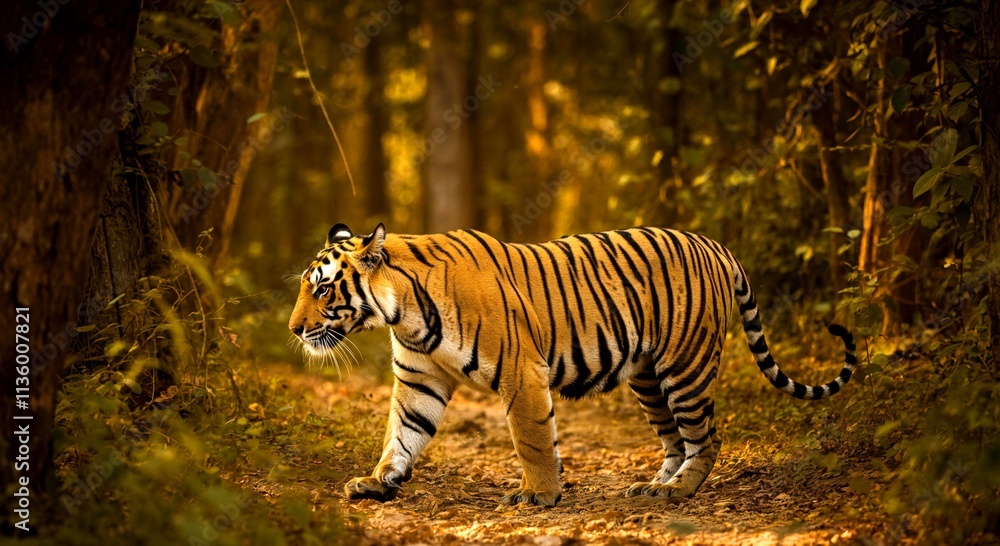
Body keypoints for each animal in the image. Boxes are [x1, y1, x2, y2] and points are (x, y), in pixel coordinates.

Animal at [288, 223, 856, 507]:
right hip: (648, 378)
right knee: (675, 440)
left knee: (707, 438)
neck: (401, 311)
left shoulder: (520, 373)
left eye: (322, 288)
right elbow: (401, 435)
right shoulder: (418, 379)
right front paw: (378, 481)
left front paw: (539, 495)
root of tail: (716, 244)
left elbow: (533, 439)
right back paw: (653, 486)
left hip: (685, 367)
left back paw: (678, 492)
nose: (293, 329)